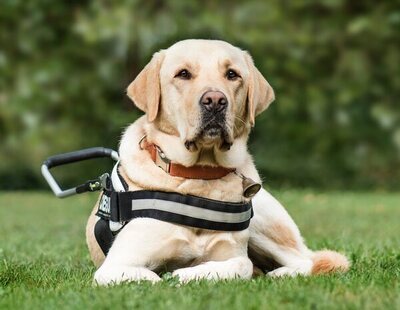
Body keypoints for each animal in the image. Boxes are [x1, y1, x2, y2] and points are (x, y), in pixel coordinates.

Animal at [86, 40, 348, 284]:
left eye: (232, 74)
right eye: (183, 73)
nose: (215, 100)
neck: (199, 176)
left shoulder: (233, 253)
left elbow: (241, 265)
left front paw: (186, 274)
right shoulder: (114, 266)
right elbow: (153, 278)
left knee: (307, 261)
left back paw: (278, 273)